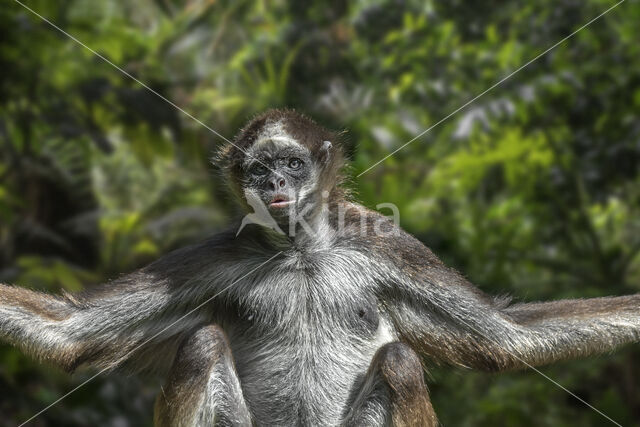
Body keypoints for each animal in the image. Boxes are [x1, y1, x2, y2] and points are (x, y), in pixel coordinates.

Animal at [1, 108, 640, 426]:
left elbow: (508, 339)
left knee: (401, 361)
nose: (274, 186)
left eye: (290, 163)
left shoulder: (382, 243)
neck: (301, 253)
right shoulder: (217, 255)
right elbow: (70, 333)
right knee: (203, 345)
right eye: (258, 171)